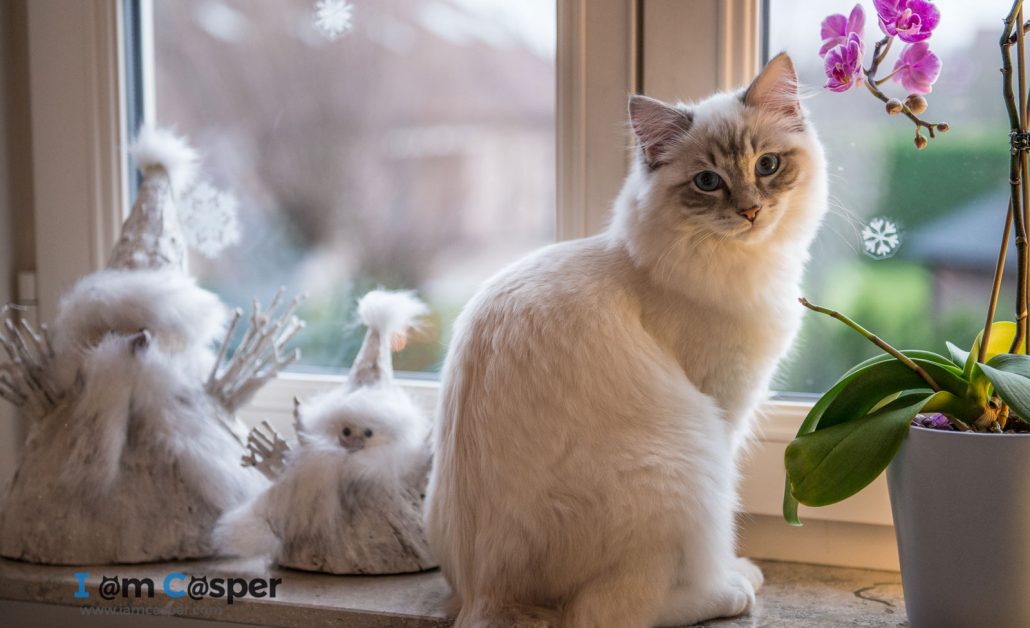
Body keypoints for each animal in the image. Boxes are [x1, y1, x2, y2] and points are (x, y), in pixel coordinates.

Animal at [424, 55, 828, 625]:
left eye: (767, 166)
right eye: (708, 182)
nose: (751, 211)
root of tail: (488, 594)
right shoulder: (726, 404)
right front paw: (735, 573)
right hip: (693, 460)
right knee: (614, 610)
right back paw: (733, 590)